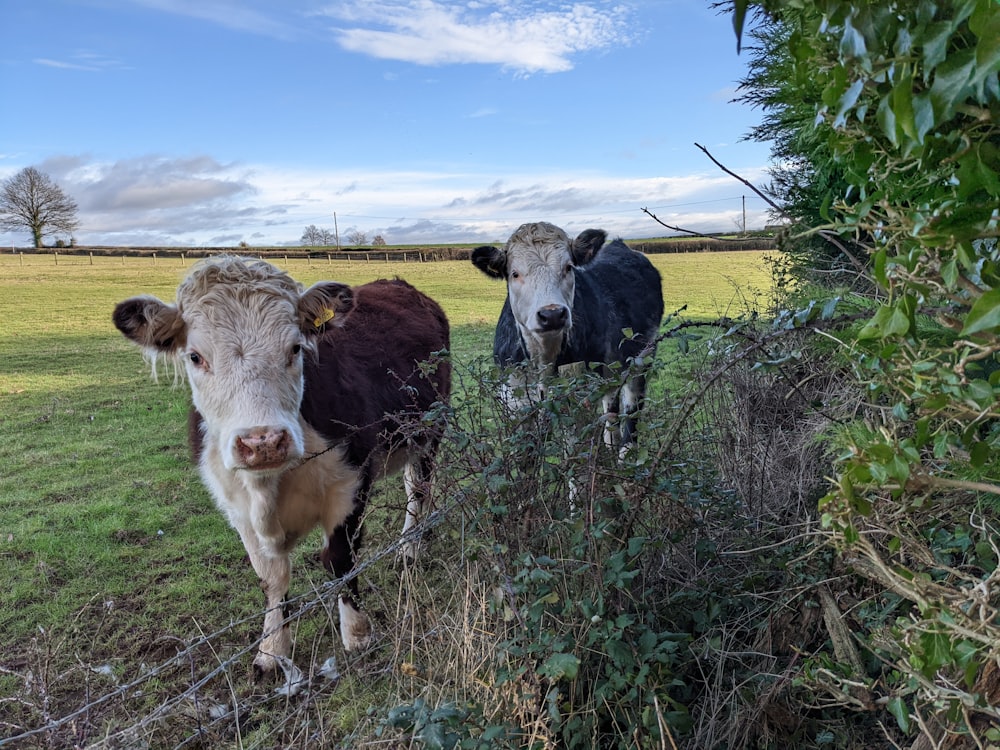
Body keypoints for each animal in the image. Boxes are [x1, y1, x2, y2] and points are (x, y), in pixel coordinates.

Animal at [112, 256, 450, 680]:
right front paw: (272, 650)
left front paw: (357, 634)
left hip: (429, 432)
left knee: (419, 487)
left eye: (294, 348)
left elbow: (340, 559)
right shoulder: (236, 506)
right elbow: (271, 578)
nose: (263, 442)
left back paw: (411, 545)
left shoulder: (351, 483)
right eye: (195, 357)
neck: (269, 487)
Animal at [470, 220, 660, 456]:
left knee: (632, 413)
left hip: (642, 358)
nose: (552, 314)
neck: (543, 356)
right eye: (514, 273)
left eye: (568, 267)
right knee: (611, 408)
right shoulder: (515, 401)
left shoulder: (576, 400)